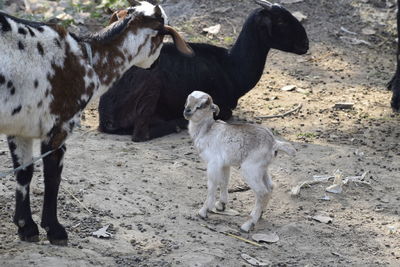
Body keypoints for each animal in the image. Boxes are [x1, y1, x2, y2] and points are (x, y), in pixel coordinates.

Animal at [0, 0, 194, 246]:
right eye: (162, 36)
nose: (156, 64)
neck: (87, 57)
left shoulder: (20, 126)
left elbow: (24, 172)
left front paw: (26, 227)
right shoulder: (60, 125)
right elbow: (53, 177)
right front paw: (55, 230)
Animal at [99, 0, 310, 142]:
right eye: (281, 21)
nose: (305, 44)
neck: (231, 66)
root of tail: (106, 116)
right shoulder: (221, 105)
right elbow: (225, 113)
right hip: (151, 86)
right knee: (140, 135)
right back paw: (177, 123)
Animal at [184, 91, 296, 232]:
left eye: (202, 105)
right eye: (187, 101)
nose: (187, 111)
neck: (207, 131)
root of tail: (274, 144)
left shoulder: (213, 164)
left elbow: (212, 185)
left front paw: (203, 211)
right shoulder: (224, 164)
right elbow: (224, 182)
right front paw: (221, 205)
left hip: (250, 169)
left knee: (262, 192)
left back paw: (248, 224)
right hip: (262, 169)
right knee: (270, 187)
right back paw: (259, 215)